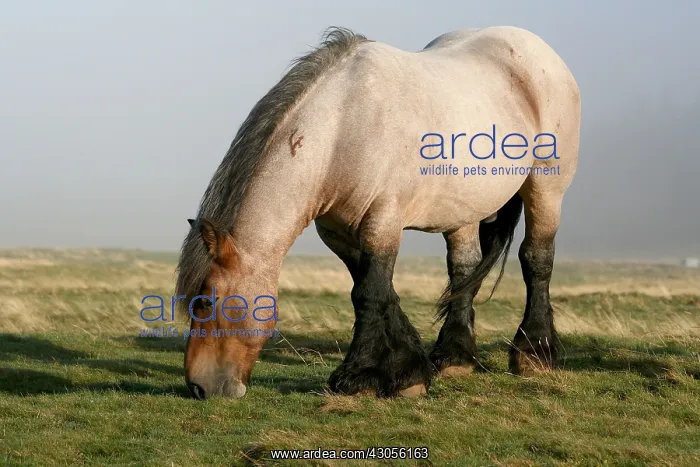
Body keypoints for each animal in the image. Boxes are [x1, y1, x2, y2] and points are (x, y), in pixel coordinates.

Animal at [176, 26, 580, 399]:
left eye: (206, 300)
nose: (199, 387)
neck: (342, 129)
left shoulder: (382, 221)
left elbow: (369, 293)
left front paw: (359, 378)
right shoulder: (338, 232)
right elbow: (378, 290)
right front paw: (410, 370)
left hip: (546, 188)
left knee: (537, 259)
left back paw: (533, 355)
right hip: (461, 210)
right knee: (464, 269)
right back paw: (455, 357)